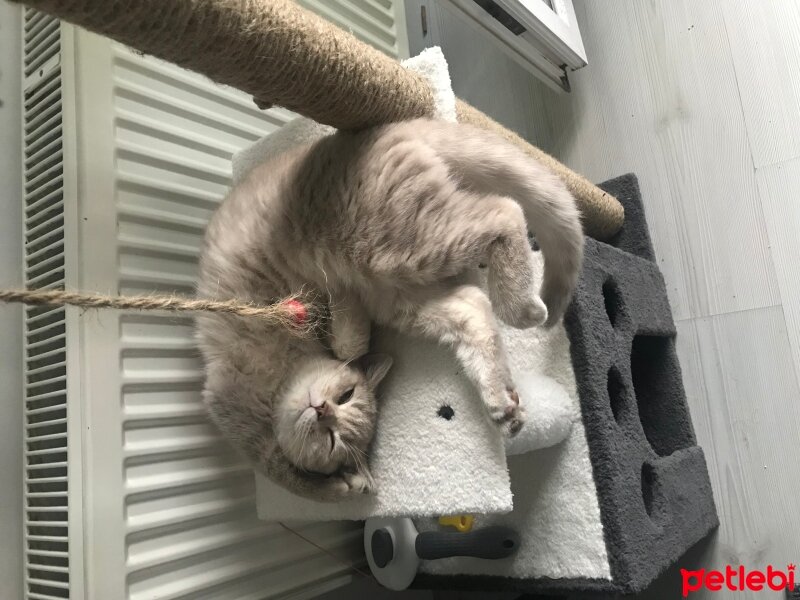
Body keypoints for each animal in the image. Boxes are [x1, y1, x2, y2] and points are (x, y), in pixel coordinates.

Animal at [194, 118, 580, 502]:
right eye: (332, 436)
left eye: (345, 399)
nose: (321, 410)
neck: (289, 368)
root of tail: (394, 128)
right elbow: (348, 348)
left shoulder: (235, 410)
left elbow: (288, 472)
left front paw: (343, 485)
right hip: (396, 289)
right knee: (473, 300)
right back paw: (503, 401)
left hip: (402, 249)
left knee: (504, 212)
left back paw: (521, 310)